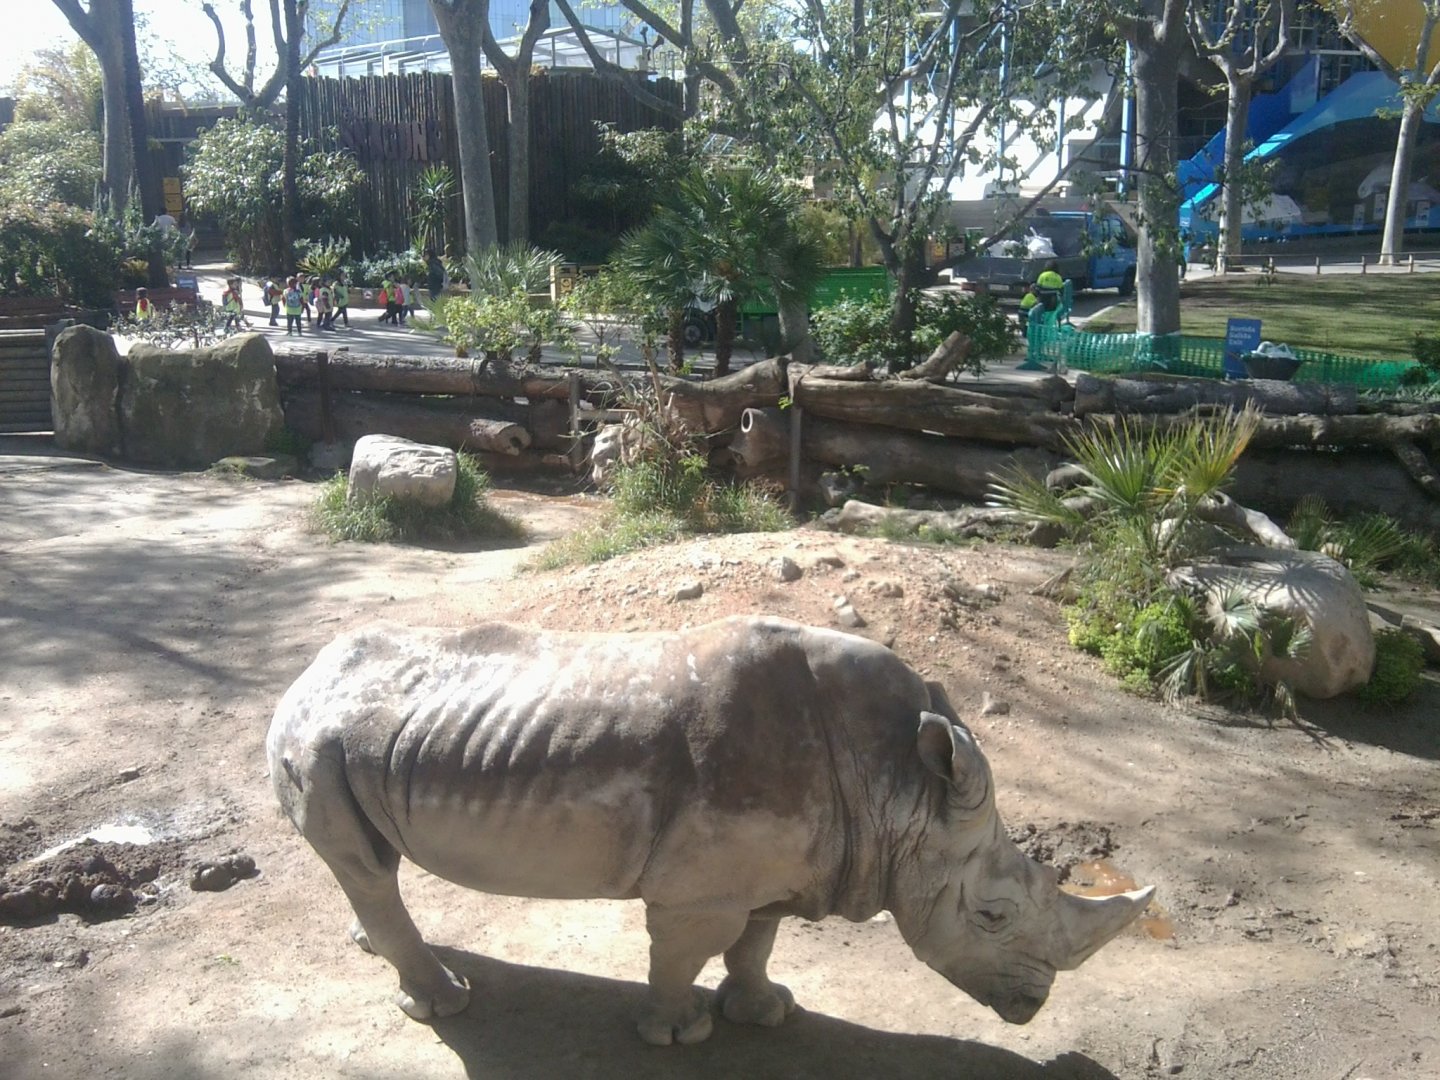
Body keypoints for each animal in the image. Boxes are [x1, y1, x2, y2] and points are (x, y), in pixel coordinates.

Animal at [268, 615, 1152, 1045]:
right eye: (992, 915)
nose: (1034, 1007)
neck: (900, 790)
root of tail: (303, 676)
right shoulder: (700, 888)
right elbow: (686, 949)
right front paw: (676, 1034)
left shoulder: (784, 863)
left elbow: (756, 942)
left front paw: (764, 1013)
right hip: (316, 745)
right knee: (363, 866)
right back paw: (445, 1005)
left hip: (354, 743)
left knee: (370, 866)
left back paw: (371, 946)